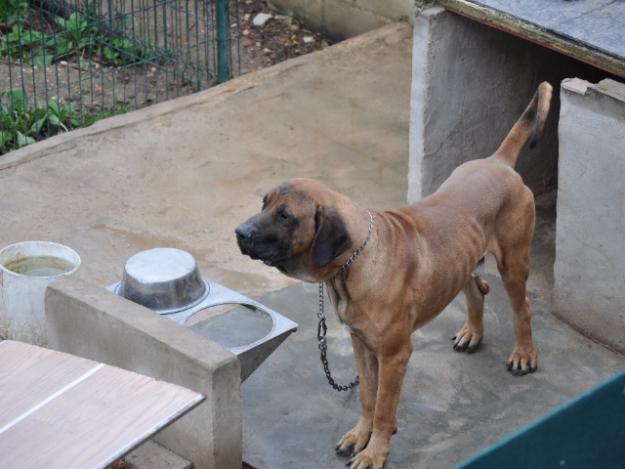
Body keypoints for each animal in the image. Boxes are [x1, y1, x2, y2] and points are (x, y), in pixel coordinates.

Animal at [235, 82, 552, 466]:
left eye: (285, 216)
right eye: (264, 204)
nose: (240, 233)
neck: (352, 264)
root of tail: (498, 161)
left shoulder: (394, 354)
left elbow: (385, 407)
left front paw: (375, 452)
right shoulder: (362, 345)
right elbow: (368, 398)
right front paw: (360, 435)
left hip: (513, 261)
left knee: (523, 309)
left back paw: (524, 354)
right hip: (463, 259)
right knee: (476, 290)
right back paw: (472, 333)